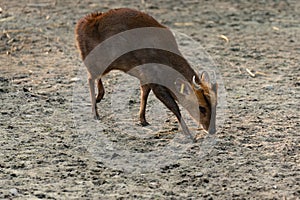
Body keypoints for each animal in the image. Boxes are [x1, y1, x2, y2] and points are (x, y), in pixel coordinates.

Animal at [74, 7, 217, 141]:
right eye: (201, 107)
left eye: (215, 104)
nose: (212, 130)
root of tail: (81, 24)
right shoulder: (154, 80)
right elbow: (174, 107)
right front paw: (189, 135)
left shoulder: (145, 77)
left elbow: (144, 95)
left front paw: (142, 120)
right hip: (95, 59)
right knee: (90, 78)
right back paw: (95, 112)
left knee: (96, 77)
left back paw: (100, 97)